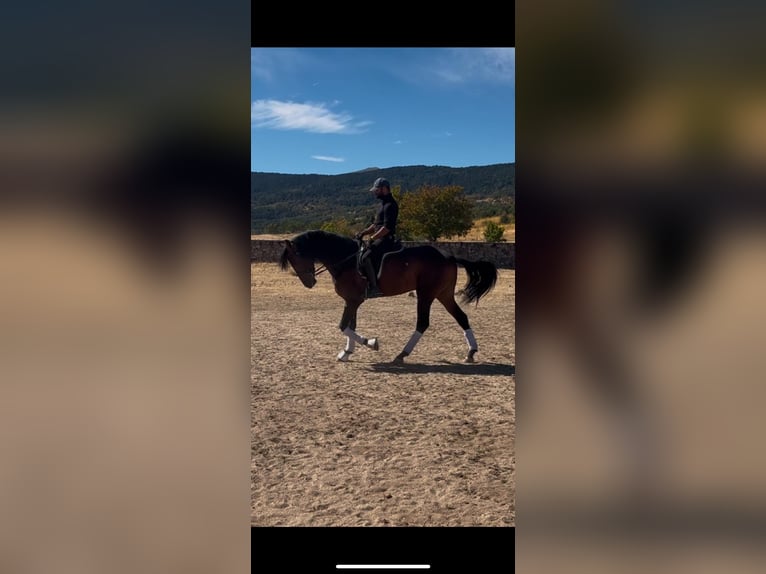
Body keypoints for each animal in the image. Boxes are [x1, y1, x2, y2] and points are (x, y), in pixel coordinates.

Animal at [278, 230, 498, 364]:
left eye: (296, 257)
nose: (309, 283)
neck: (345, 259)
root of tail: (449, 256)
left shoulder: (353, 300)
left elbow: (343, 326)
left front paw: (371, 343)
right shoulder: (352, 301)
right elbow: (351, 325)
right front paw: (347, 353)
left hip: (425, 294)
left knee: (422, 323)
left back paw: (402, 354)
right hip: (443, 294)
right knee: (461, 317)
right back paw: (471, 352)